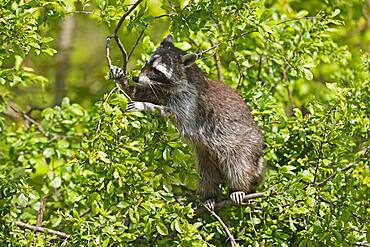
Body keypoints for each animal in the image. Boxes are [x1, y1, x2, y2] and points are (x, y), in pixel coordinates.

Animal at [125, 34, 264, 208]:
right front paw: (122, 79)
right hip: (204, 153)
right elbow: (140, 93)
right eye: (147, 63)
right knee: (206, 173)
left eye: (157, 71)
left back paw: (238, 188)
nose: (136, 78)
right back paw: (210, 196)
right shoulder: (159, 91)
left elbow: (173, 115)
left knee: (238, 165)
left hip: (246, 145)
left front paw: (145, 106)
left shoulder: (190, 103)